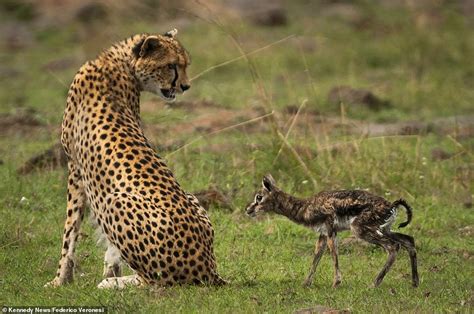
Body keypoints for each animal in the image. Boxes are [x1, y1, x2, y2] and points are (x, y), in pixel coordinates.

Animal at [44, 30, 226, 290]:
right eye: (171, 65)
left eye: (184, 65)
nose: (185, 86)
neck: (119, 61)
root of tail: (208, 269)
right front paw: (106, 270)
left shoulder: (75, 169)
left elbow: (69, 233)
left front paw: (60, 279)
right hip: (191, 198)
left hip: (114, 200)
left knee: (154, 281)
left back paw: (115, 283)